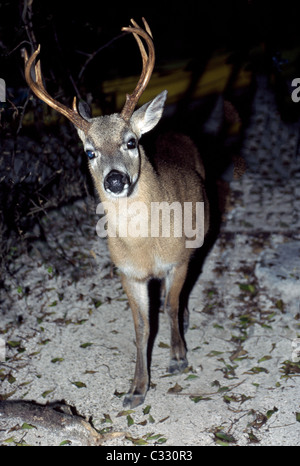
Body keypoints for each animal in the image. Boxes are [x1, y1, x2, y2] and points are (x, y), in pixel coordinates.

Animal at [24, 18, 209, 408]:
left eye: (131, 141)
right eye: (89, 152)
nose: (114, 179)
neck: (145, 245)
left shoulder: (177, 260)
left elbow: (170, 307)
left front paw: (178, 358)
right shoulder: (127, 272)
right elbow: (142, 327)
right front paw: (136, 389)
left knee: (181, 294)